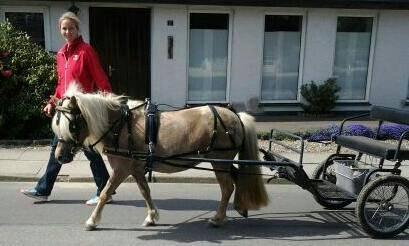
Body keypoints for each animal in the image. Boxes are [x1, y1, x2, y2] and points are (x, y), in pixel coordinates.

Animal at [51, 84, 268, 231]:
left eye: (72, 125)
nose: (59, 156)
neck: (121, 126)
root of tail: (236, 117)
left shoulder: (122, 169)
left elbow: (105, 193)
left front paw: (92, 221)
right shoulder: (135, 169)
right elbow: (145, 191)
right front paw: (152, 217)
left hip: (219, 161)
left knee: (227, 187)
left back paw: (218, 218)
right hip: (223, 162)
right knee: (237, 179)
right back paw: (240, 207)